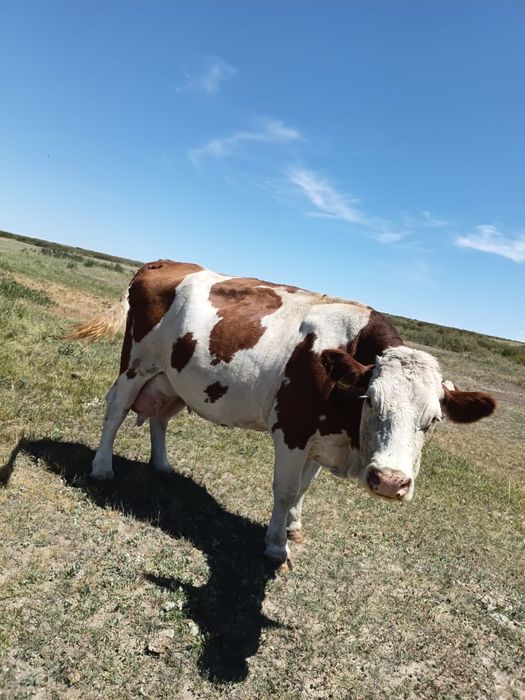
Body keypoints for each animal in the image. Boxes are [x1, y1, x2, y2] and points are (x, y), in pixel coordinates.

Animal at [69, 260, 496, 565]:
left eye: (434, 420)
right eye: (371, 400)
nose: (390, 481)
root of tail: (163, 262)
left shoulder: (323, 439)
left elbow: (303, 489)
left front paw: (294, 527)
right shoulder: (293, 431)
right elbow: (286, 489)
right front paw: (276, 544)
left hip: (171, 379)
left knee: (159, 417)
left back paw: (161, 466)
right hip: (137, 364)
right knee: (116, 409)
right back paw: (102, 467)